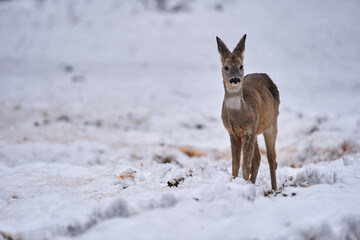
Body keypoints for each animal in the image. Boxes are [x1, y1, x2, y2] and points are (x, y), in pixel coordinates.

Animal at [215, 34, 280, 190]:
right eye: (226, 67)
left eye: (241, 66)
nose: (235, 79)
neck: (238, 116)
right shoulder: (233, 132)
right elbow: (235, 163)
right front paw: (236, 182)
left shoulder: (249, 132)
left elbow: (245, 165)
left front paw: (242, 184)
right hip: (256, 131)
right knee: (258, 158)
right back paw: (253, 183)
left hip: (272, 124)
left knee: (272, 158)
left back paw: (274, 189)